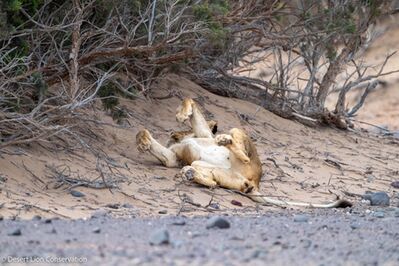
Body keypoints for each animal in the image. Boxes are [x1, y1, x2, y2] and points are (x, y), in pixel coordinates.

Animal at [136, 98, 352, 209]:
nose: (173, 134)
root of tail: (256, 182)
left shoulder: (204, 133)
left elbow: (191, 101)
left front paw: (182, 114)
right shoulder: (175, 158)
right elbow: (151, 140)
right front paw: (143, 141)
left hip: (238, 134)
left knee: (242, 152)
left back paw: (223, 141)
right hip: (224, 175)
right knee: (212, 181)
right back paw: (191, 174)